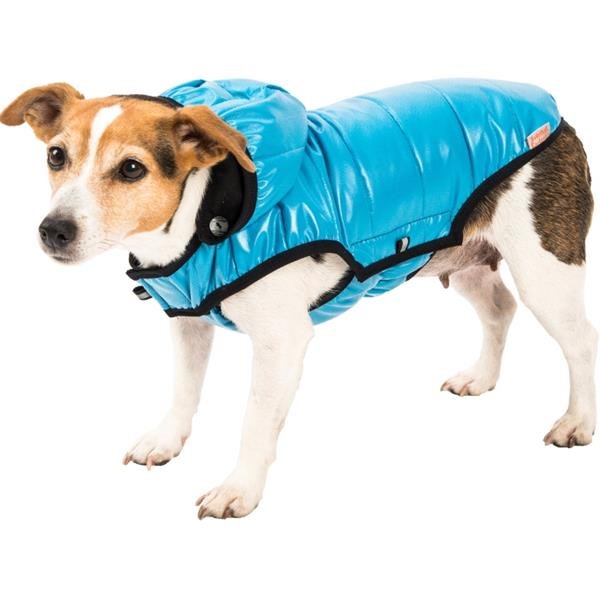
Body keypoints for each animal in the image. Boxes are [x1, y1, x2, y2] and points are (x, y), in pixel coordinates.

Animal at [0, 78, 596, 520]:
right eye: (56, 156)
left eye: (131, 168)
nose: (53, 230)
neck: (206, 217)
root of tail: (551, 109)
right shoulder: (189, 321)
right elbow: (183, 391)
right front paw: (167, 440)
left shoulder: (280, 343)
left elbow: (255, 420)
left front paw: (238, 489)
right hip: (460, 254)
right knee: (500, 308)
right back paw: (481, 377)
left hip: (544, 269)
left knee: (580, 342)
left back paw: (577, 422)